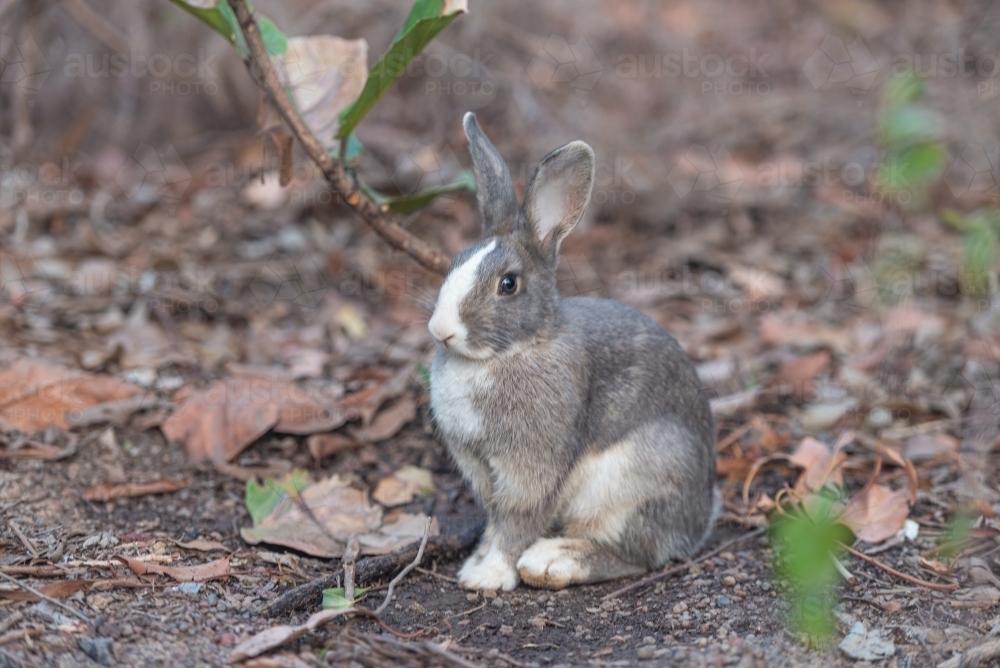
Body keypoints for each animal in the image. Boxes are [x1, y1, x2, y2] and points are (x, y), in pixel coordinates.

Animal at [427, 112, 719, 591]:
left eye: (508, 284)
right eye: (454, 263)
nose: (441, 330)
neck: (515, 349)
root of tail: (700, 521)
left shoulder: (531, 470)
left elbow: (516, 522)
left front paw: (489, 575)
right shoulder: (482, 472)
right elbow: (494, 521)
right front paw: (476, 562)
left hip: (630, 482)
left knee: (636, 555)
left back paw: (553, 562)